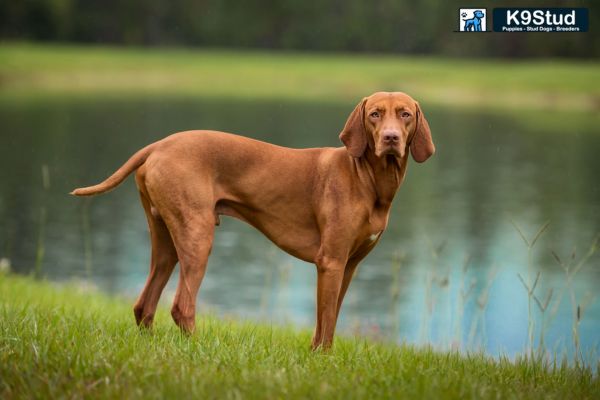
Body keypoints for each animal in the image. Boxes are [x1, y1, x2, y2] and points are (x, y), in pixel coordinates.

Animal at [72, 92, 434, 348]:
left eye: (405, 114)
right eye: (375, 114)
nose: (390, 138)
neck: (368, 180)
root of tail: (159, 144)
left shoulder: (348, 266)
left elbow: (328, 320)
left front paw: (319, 355)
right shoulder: (330, 262)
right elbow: (327, 319)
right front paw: (322, 358)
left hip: (166, 242)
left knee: (144, 304)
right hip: (198, 237)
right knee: (181, 305)